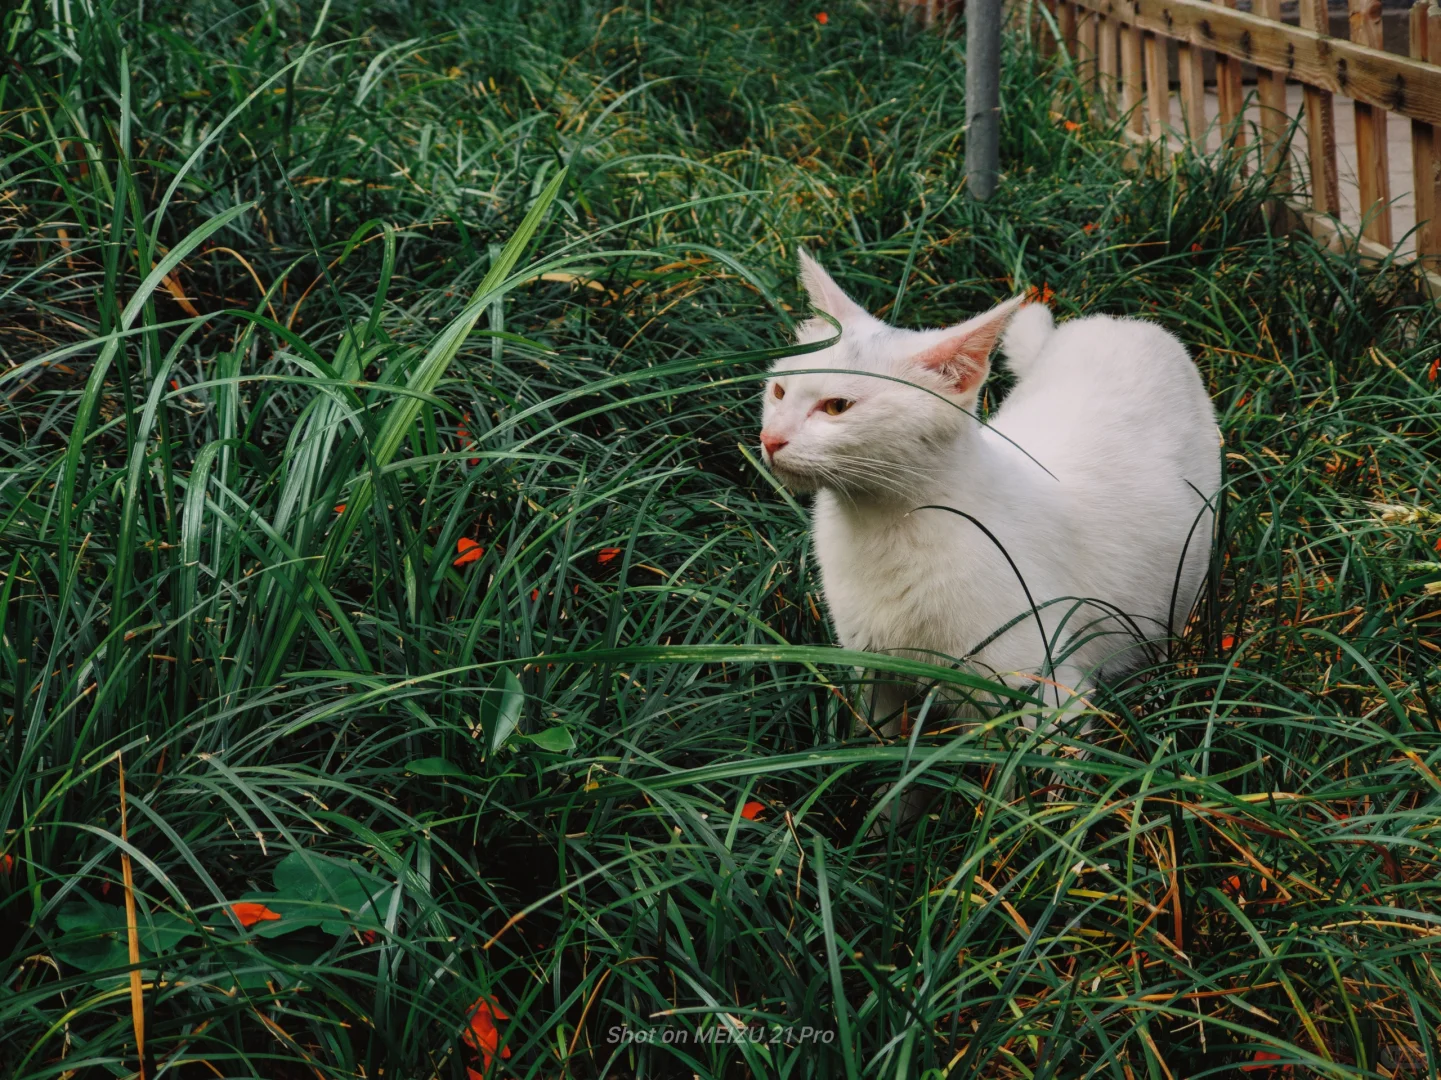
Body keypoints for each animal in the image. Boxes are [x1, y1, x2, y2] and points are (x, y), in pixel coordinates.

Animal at [760, 249, 1221, 729]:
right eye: (779, 391)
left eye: (837, 407)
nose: (770, 439)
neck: (880, 529)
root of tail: (1123, 323)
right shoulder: (871, 672)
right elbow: (871, 732)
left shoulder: (1048, 692)